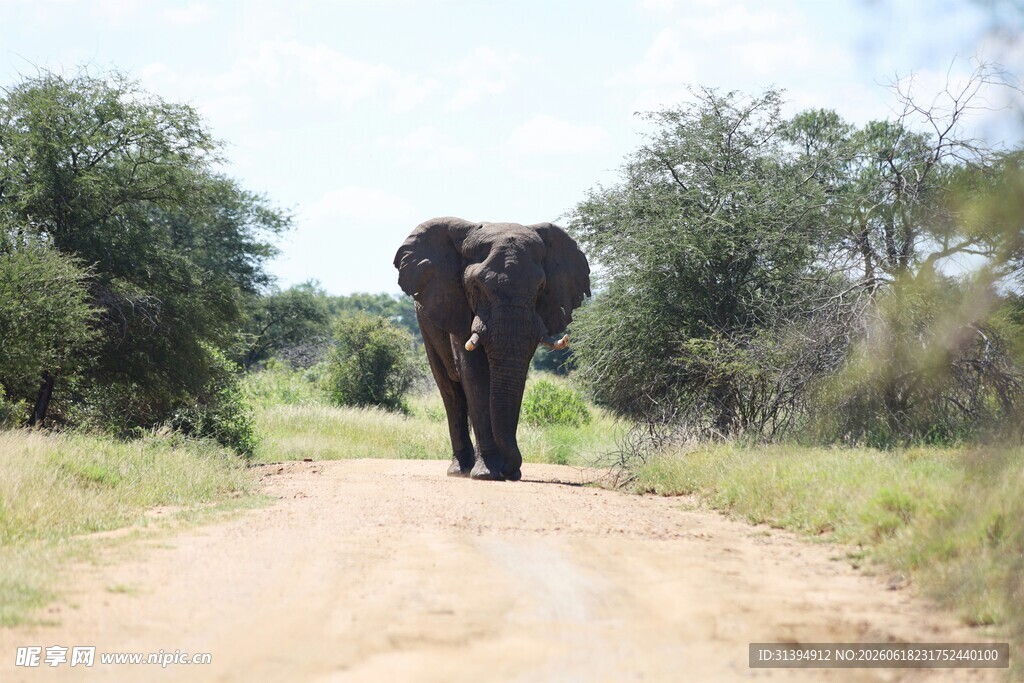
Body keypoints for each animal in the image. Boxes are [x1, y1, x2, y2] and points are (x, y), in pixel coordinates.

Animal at [394, 217, 590, 481]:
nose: (510, 471)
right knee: (451, 390)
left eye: (541, 288)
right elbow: (475, 376)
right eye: (476, 286)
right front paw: (487, 473)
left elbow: (514, 378)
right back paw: (460, 470)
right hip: (425, 322)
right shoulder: (456, 306)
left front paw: (505, 471)